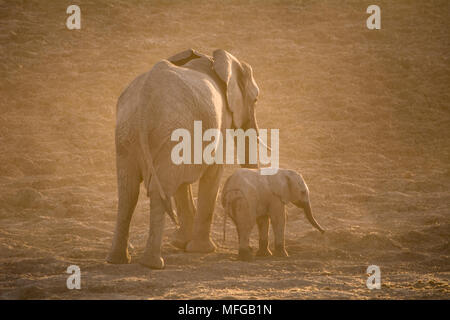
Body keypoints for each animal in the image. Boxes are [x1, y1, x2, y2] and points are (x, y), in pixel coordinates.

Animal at [106, 48, 260, 268]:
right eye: (255, 100)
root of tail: (145, 97)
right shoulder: (218, 125)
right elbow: (212, 174)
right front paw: (202, 250)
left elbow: (182, 184)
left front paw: (182, 245)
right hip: (167, 130)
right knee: (157, 190)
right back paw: (152, 264)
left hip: (127, 133)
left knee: (129, 191)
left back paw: (118, 260)